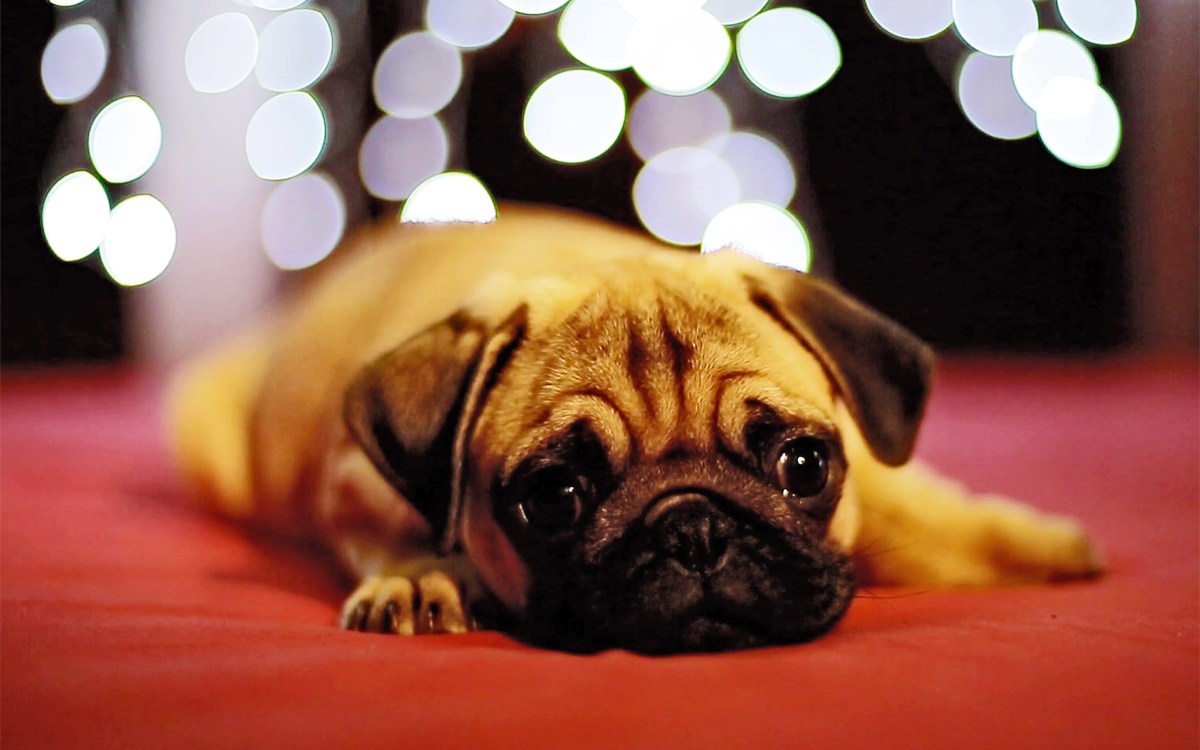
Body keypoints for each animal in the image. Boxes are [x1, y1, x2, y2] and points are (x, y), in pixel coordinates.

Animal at [171, 202, 1104, 648]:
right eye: (554, 497)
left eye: (804, 466)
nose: (694, 528)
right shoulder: (354, 479)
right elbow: (403, 529)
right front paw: (423, 576)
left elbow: (924, 513)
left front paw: (1030, 547)